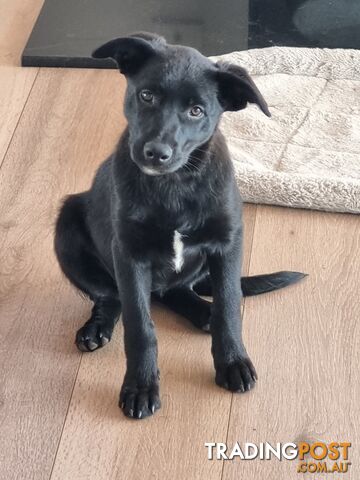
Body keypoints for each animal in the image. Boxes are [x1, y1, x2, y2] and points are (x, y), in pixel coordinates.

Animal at [54, 32, 306, 420]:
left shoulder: (227, 243)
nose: (156, 153)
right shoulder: (129, 255)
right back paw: (97, 327)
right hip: (67, 223)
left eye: (196, 110)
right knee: (112, 296)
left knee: (177, 292)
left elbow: (229, 305)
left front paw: (232, 362)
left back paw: (204, 311)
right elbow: (139, 325)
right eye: (146, 95)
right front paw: (140, 387)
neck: (173, 185)